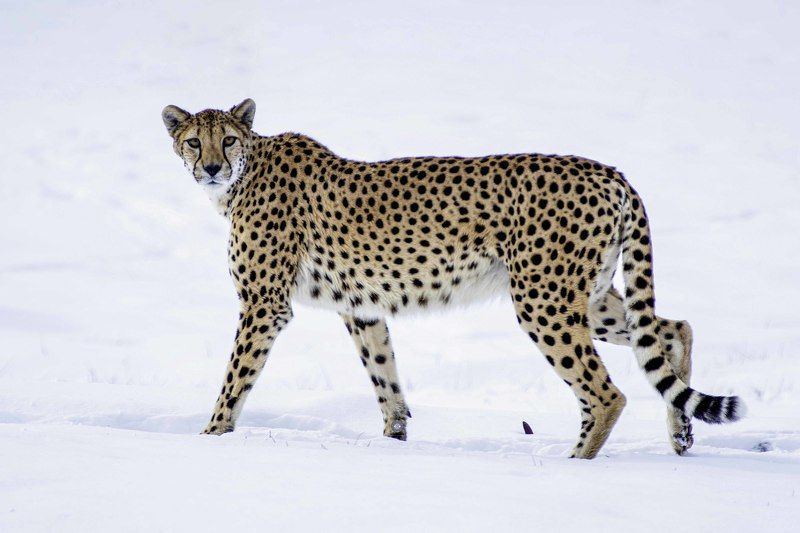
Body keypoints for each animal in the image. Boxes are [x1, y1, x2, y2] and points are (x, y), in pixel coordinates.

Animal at [162, 98, 744, 459]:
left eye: (228, 140)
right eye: (193, 142)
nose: (210, 167)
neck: (245, 173)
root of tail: (609, 171)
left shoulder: (264, 304)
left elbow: (235, 379)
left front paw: (209, 437)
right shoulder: (362, 308)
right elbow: (386, 380)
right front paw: (395, 440)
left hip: (543, 299)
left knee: (607, 393)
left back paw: (574, 462)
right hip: (586, 295)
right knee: (672, 329)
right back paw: (681, 434)